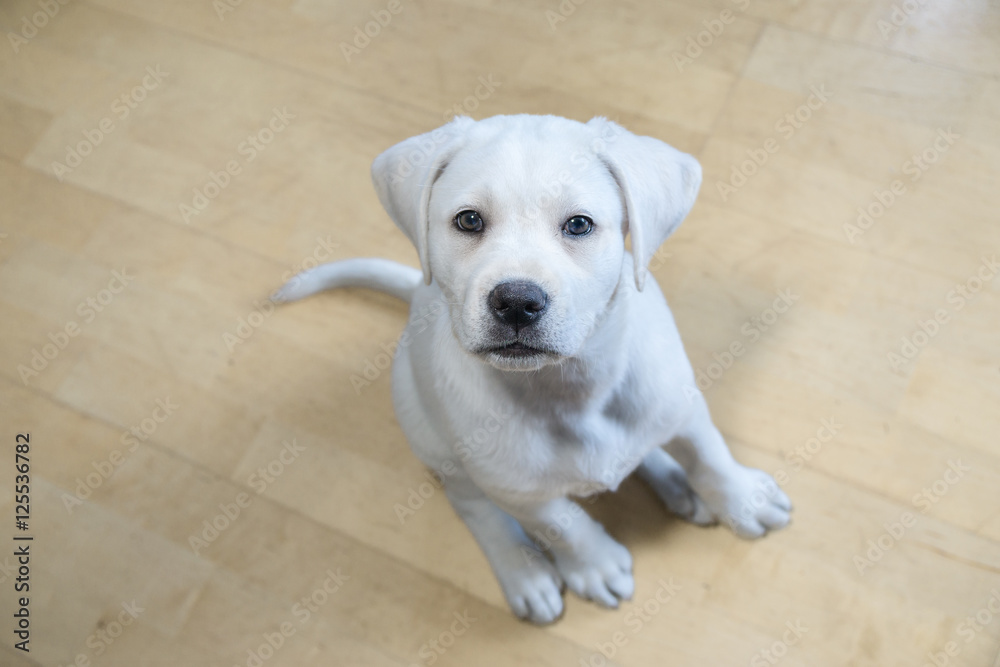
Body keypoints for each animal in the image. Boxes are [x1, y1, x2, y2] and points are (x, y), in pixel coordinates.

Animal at [278, 116, 792, 628]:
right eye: (468, 220)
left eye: (579, 224)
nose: (517, 302)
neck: (567, 388)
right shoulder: (514, 486)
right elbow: (561, 524)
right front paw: (595, 566)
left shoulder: (681, 407)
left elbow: (710, 456)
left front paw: (743, 499)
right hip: (425, 429)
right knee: (472, 507)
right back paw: (521, 571)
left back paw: (674, 479)